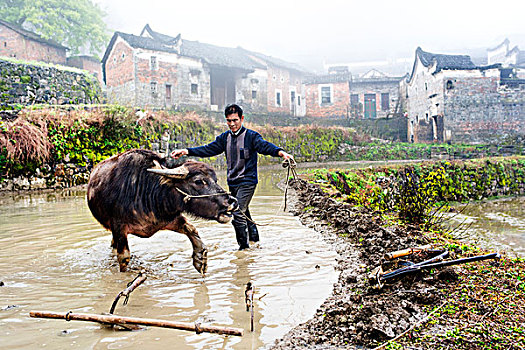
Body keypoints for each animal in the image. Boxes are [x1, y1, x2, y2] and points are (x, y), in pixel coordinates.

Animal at [87, 148, 236, 274]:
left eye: (215, 180)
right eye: (199, 181)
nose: (232, 201)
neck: (147, 191)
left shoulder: (166, 218)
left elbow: (191, 229)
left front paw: (200, 260)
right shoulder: (119, 227)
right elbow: (124, 258)